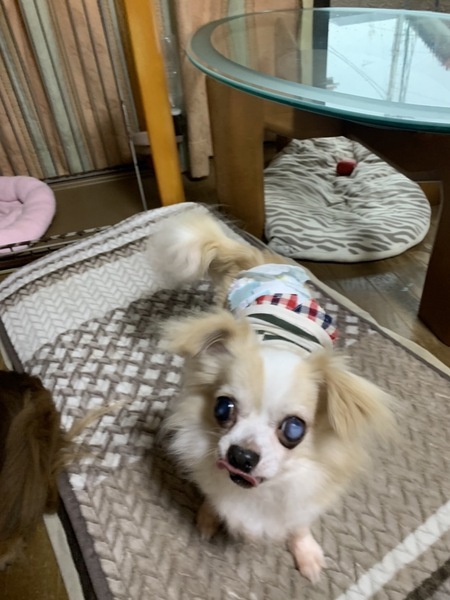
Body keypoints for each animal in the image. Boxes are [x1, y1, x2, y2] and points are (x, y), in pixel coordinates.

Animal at [151, 210, 393, 583]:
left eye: (294, 430)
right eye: (223, 408)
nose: (241, 455)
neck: (261, 490)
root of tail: (261, 263)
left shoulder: (304, 497)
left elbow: (299, 524)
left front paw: (306, 553)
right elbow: (212, 495)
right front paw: (208, 516)